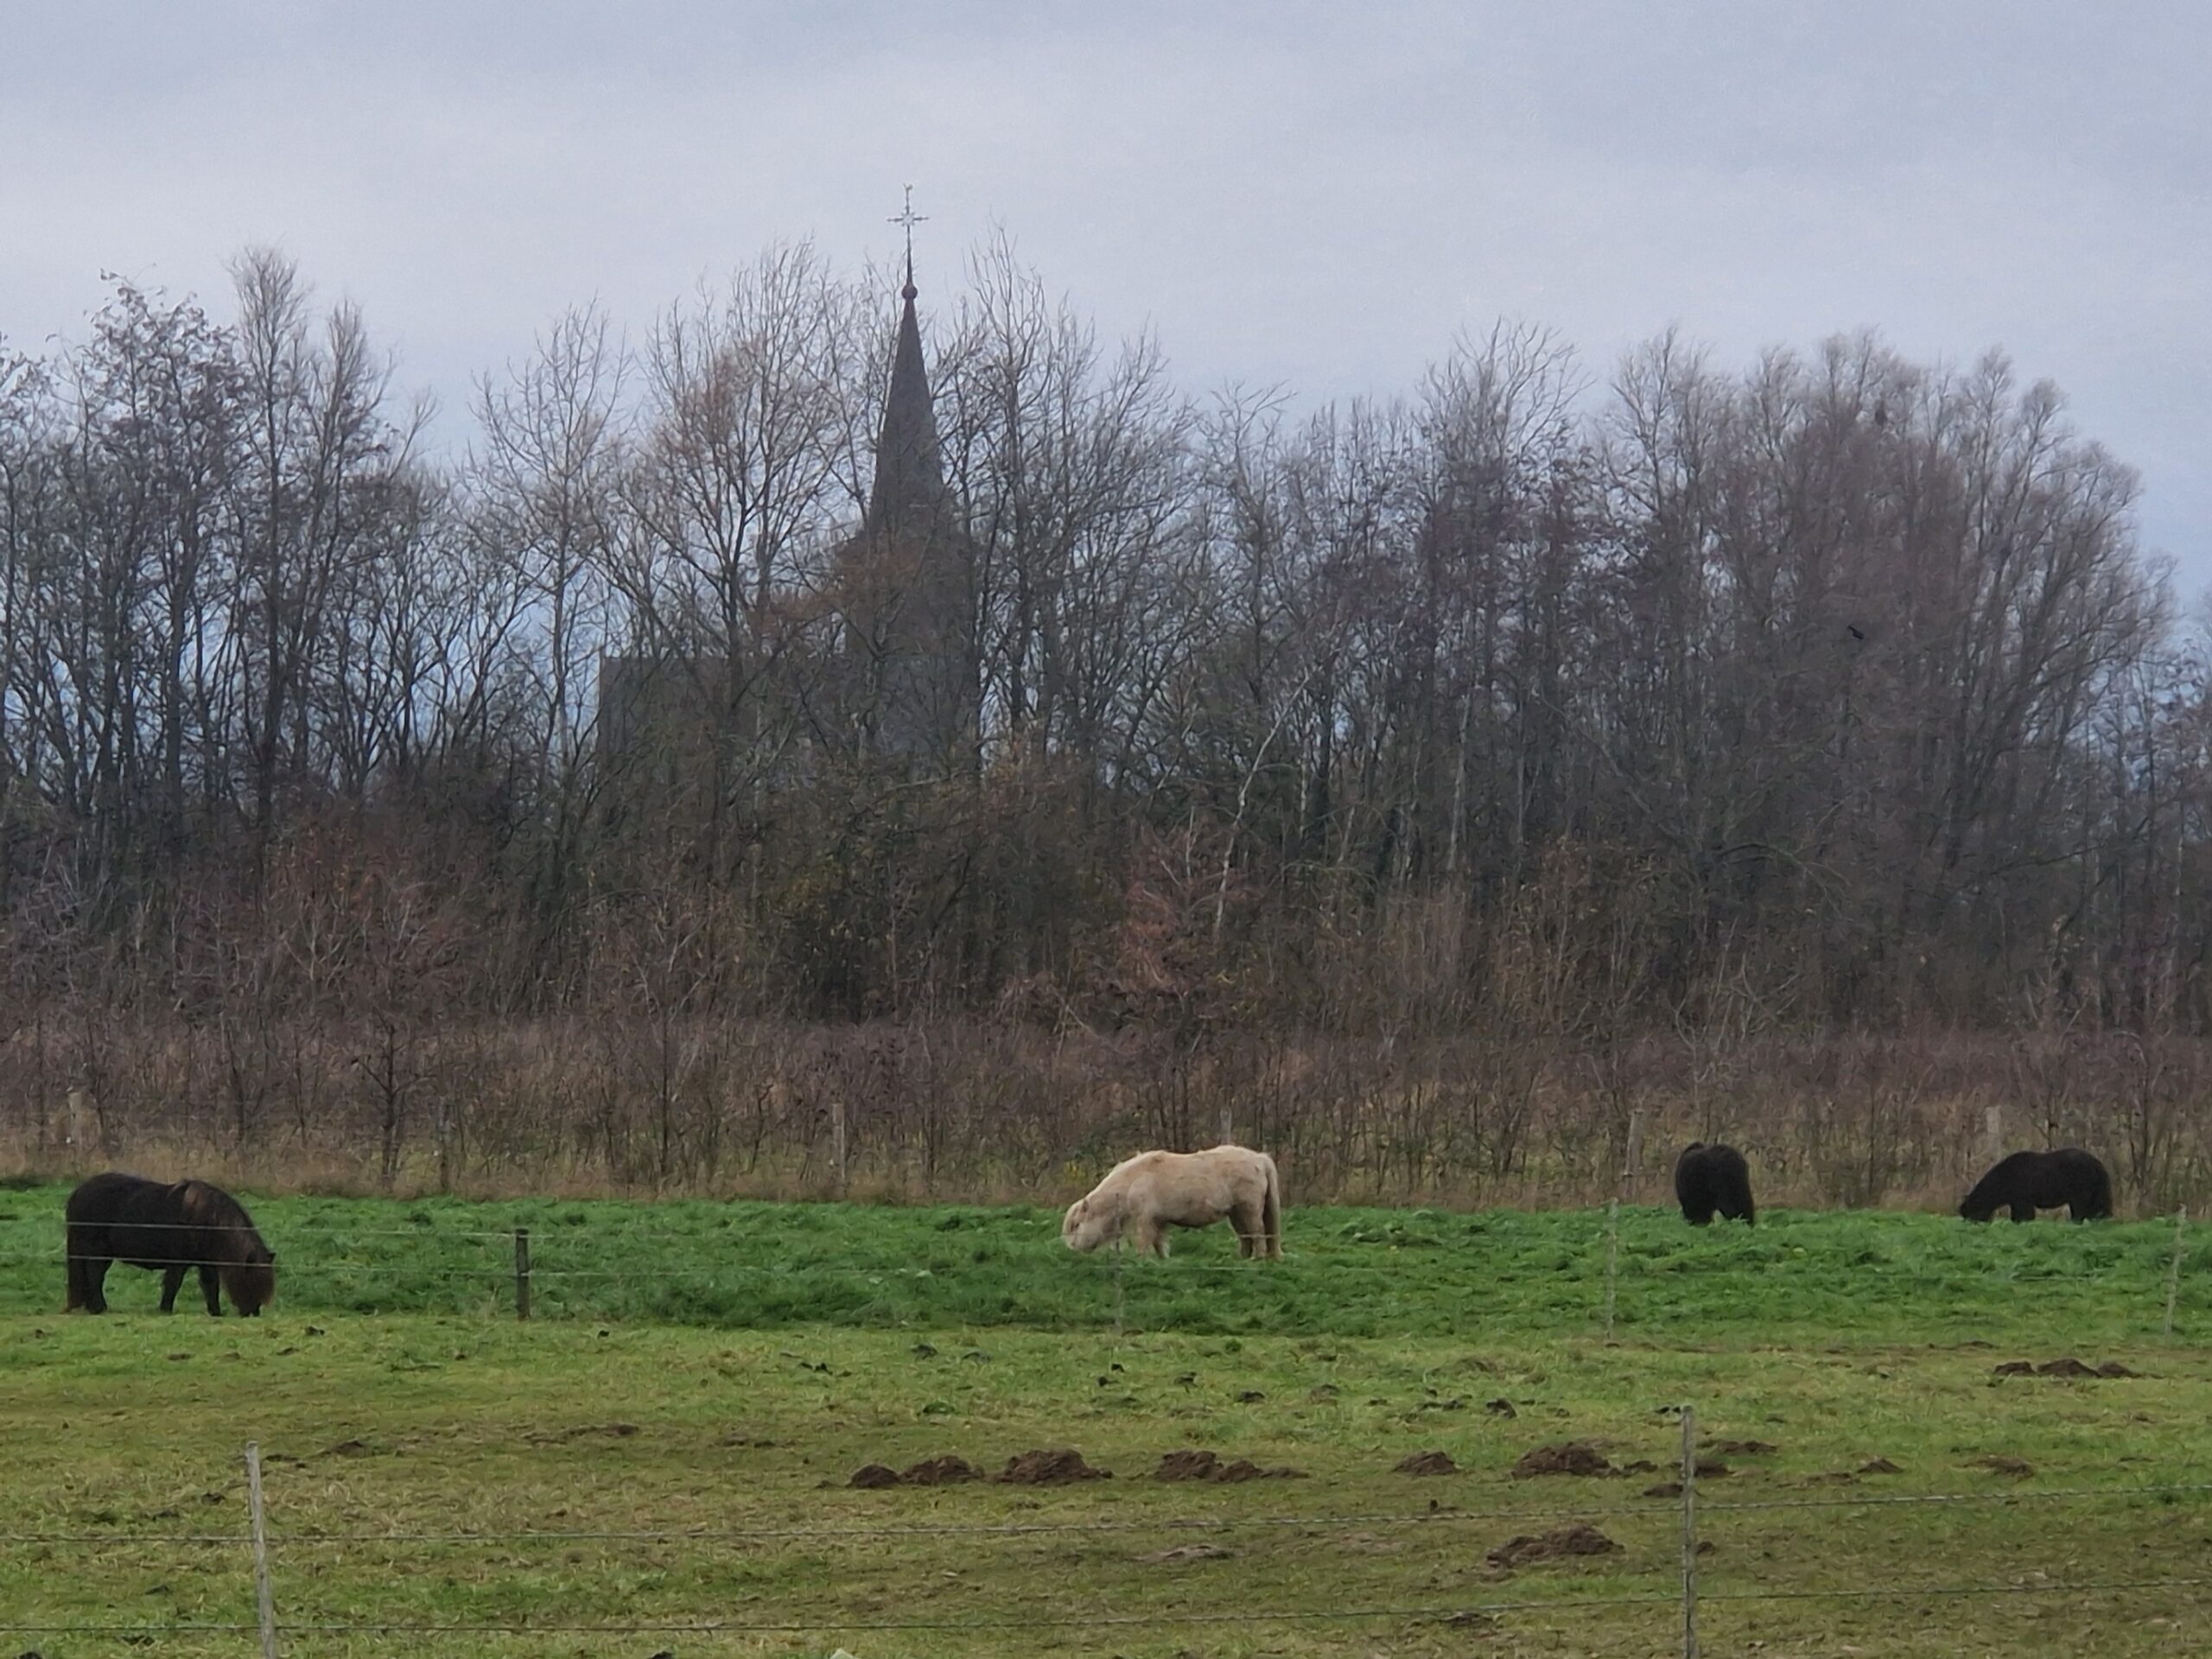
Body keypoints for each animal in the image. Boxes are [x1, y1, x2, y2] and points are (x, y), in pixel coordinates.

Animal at [65, 1172, 277, 1316]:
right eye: (252, 1278)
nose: (253, 1312)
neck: (207, 1220)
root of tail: (78, 1193)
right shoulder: (178, 1263)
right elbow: (173, 1285)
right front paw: (165, 1309)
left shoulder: (206, 1264)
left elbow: (210, 1286)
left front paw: (215, 1312)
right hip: (96, 1251)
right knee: (94, 1276)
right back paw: (99, 1308)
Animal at [1062, 1145, 1283, 1259]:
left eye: (1077, 1225)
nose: (1072, 1247)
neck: (1134, 1181)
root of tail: (1259, 1159)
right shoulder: (1158, 1220)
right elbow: (1159, 1242)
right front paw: (1162, 1260)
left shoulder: (1145, 1220)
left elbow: (1145, 1242)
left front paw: (1142, 1261)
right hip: (1236, 1213)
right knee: (1245, 1236)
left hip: (1249, 1209)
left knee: (1257, 1232)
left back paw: (1258, 1258)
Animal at [1959, 1148, 2113, 1222]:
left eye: (1969, 1216)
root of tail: (2097, 1163)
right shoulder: (2014, 1199)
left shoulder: (2022, 1195)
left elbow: (2025, 1214)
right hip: (2096, 1187)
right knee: (2098, 1207)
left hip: (2081, 1186)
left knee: (2081, 1209)